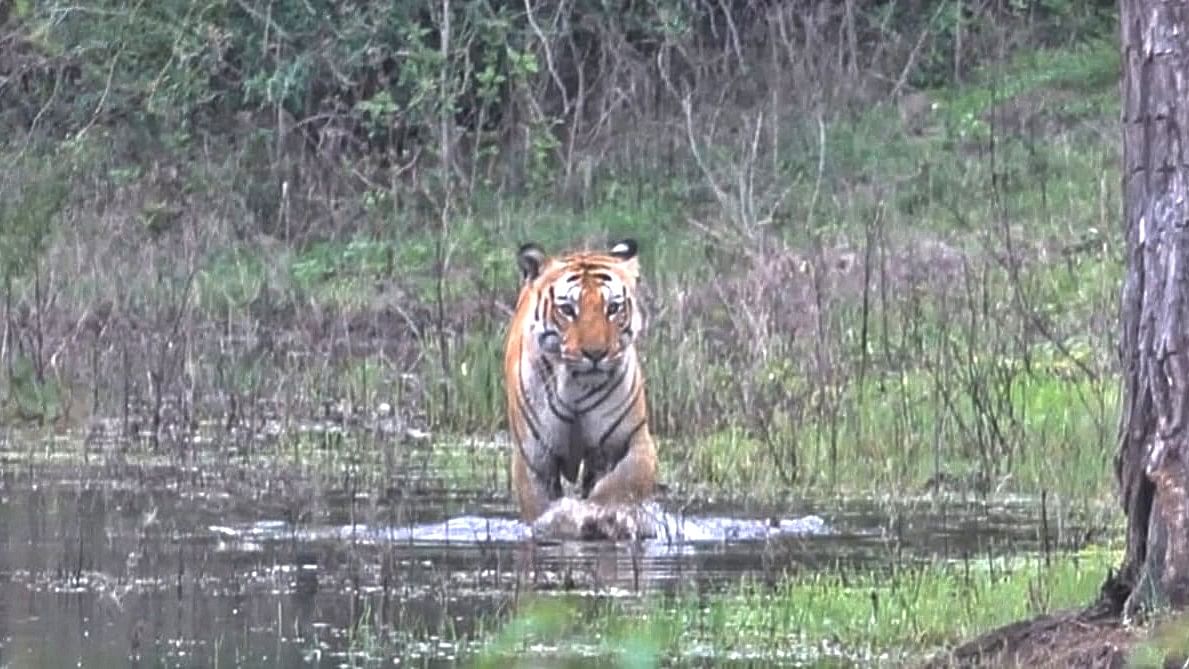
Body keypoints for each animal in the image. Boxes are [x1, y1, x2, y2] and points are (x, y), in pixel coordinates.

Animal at [501, 237, 661, 541]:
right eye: (567, 310)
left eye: (613, 308)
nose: (595, 353)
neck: (575, 385)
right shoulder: (534, 456)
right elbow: (540, 506)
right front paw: (560, 521)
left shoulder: (633, 441)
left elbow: (619, 486)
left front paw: (601, 516)